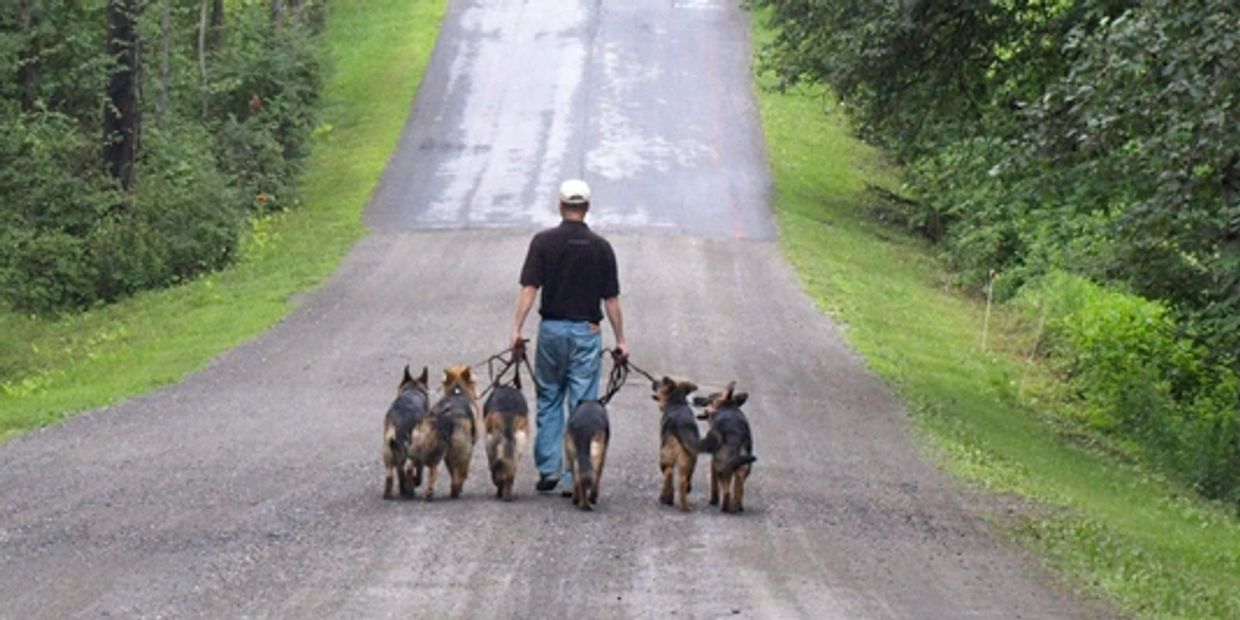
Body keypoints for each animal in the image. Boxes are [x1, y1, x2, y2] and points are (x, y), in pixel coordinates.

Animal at [381, 364, 431, 500]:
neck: (413, 390)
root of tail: (399, 426)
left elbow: (400, 472)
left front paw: (403, 488)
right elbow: (419, 470)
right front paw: (414, 482)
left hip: (388, 452)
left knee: (390, 475)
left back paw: (389, 494)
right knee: (408, 469)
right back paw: (411, 490)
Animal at [411, 364, 478, 500]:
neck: (457, 391)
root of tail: (442, 419)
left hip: (419, 441)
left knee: (418, 465)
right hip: (463, 449)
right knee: (456, 476)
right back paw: (454, 491)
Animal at [654, 374, 704, 510]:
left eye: (661, 383)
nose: (654, 382)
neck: (678, 401)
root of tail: (682, 426)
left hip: (665, 455)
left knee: (668, 473)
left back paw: (665, 497)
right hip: (690, 460)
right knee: (684, 480)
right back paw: (684, 502)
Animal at [689, 381, 753, 513]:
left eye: (709, 397)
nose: (695, 398)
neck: (727, 406)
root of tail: (736, 438)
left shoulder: (713, 463)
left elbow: (714, 485)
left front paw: (713, 500)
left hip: (721, 468)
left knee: (727, 491)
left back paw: (724, 507)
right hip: (743, 468)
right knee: (739, 488)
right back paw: (737, 505)